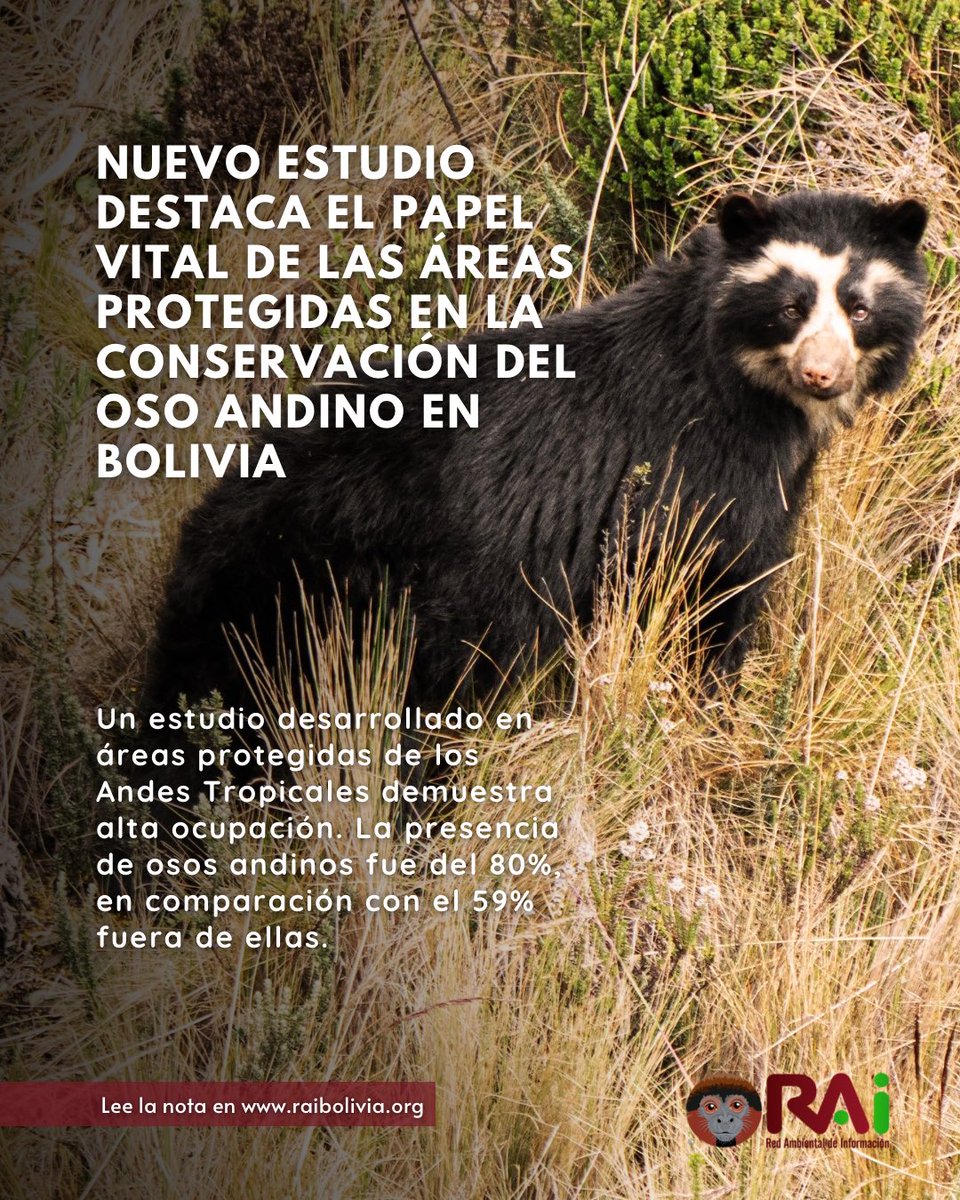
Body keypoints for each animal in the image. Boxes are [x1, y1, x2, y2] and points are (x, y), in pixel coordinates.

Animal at [142, 190, 928, 720]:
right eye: (791, 306)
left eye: (858, 307)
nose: (822, 374)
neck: (750, 387)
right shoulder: (707, 469)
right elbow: (717, 586)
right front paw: (714, 701)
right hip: (363, 598)